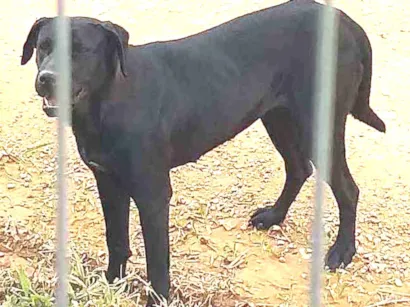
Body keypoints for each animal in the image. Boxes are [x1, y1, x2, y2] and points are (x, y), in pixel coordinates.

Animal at [20, 0, 386, 306]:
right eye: (43, 48)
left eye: (81, 51)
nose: (46, 79)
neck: (109, 100)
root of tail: (347, 22)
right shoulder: (108, 182)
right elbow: (116, 240)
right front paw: (111, 284)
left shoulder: (153, 195)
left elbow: (158, 262)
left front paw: (158, 300)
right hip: (277, 117)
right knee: (299, 168)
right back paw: (273, 217)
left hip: (317, 124)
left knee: (347, 189)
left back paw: (342, 251)